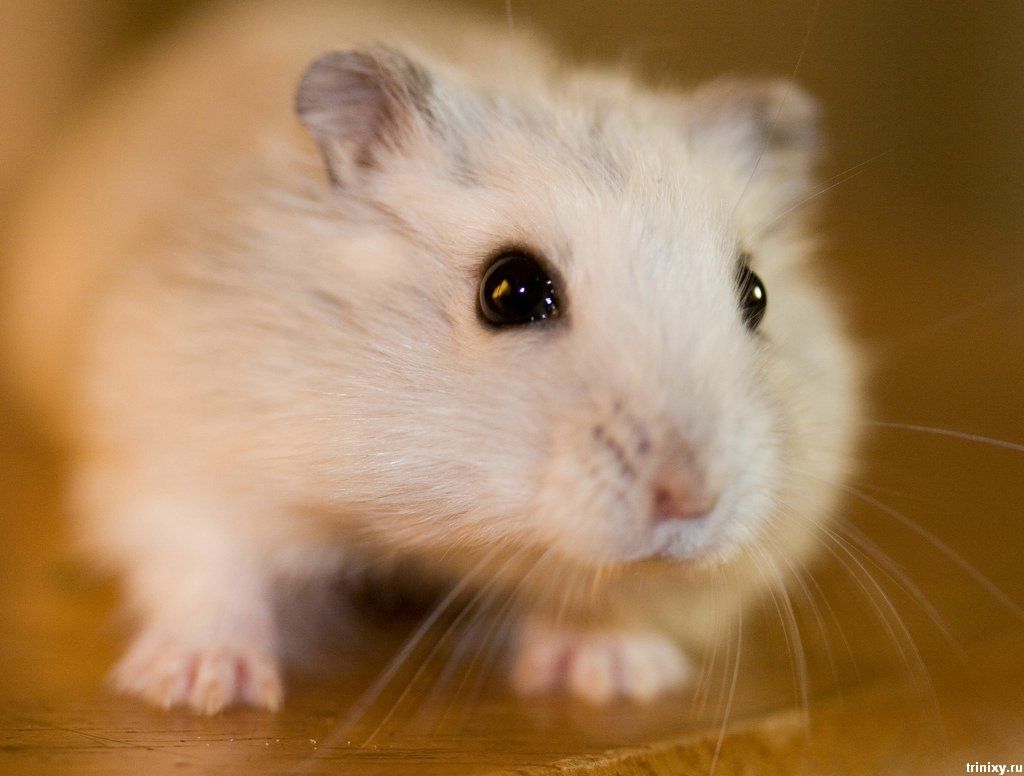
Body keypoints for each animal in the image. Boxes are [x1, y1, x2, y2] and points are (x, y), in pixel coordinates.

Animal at [1, 0, 861, 713]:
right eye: (509, 291)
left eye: (756, 294)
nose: (692, 500)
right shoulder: (171, 442)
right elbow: (205, 563)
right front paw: (204, 689)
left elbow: (608, 596)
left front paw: (614, 675)